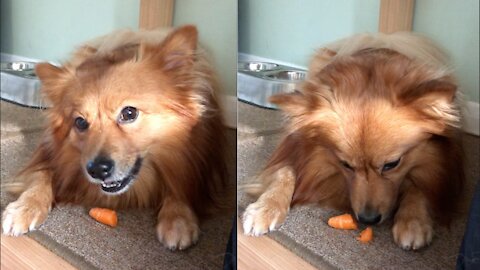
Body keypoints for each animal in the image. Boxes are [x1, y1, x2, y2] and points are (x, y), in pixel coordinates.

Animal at [1, 25, 231, 251]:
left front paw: (178, 219)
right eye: (80, 122)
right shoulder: (48, 156)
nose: (96, 170)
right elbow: (40, 176)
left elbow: (182, 182)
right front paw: (24, 207)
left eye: (129, 113)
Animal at [242, 32, 464, 250]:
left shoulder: (439, 163)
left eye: (392, 164)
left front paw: (413, 221)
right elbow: (284, 172)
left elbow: (420, 184)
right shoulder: (291, 149)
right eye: (345, 165)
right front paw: (266, 207)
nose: (368, 219)